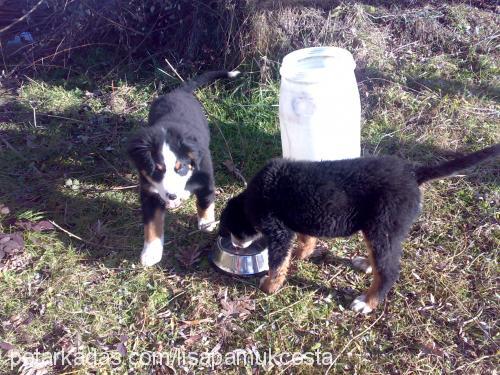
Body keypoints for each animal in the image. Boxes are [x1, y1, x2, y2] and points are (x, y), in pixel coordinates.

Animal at [128, 69, 239, 266]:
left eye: (180, 168)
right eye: (158, 169)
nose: (172, 195)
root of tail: (179, 91)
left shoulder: (205, 177)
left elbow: (205, 201)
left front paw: (206, 224)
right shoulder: (149, 192)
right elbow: (152, 224)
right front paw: (151, 253)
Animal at [219, 144, 500, 314]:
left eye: (231, 231)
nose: (235, 246)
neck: (251, 200)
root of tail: (413, 173)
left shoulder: (278, 231)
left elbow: (277, 263)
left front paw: (269, 286)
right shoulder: (296, 222)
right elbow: (305, 237)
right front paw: (302, 253)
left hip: (382, 228)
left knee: (389, 271)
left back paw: (367, 303)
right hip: (378, 231)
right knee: (381, 262)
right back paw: (366, 264)